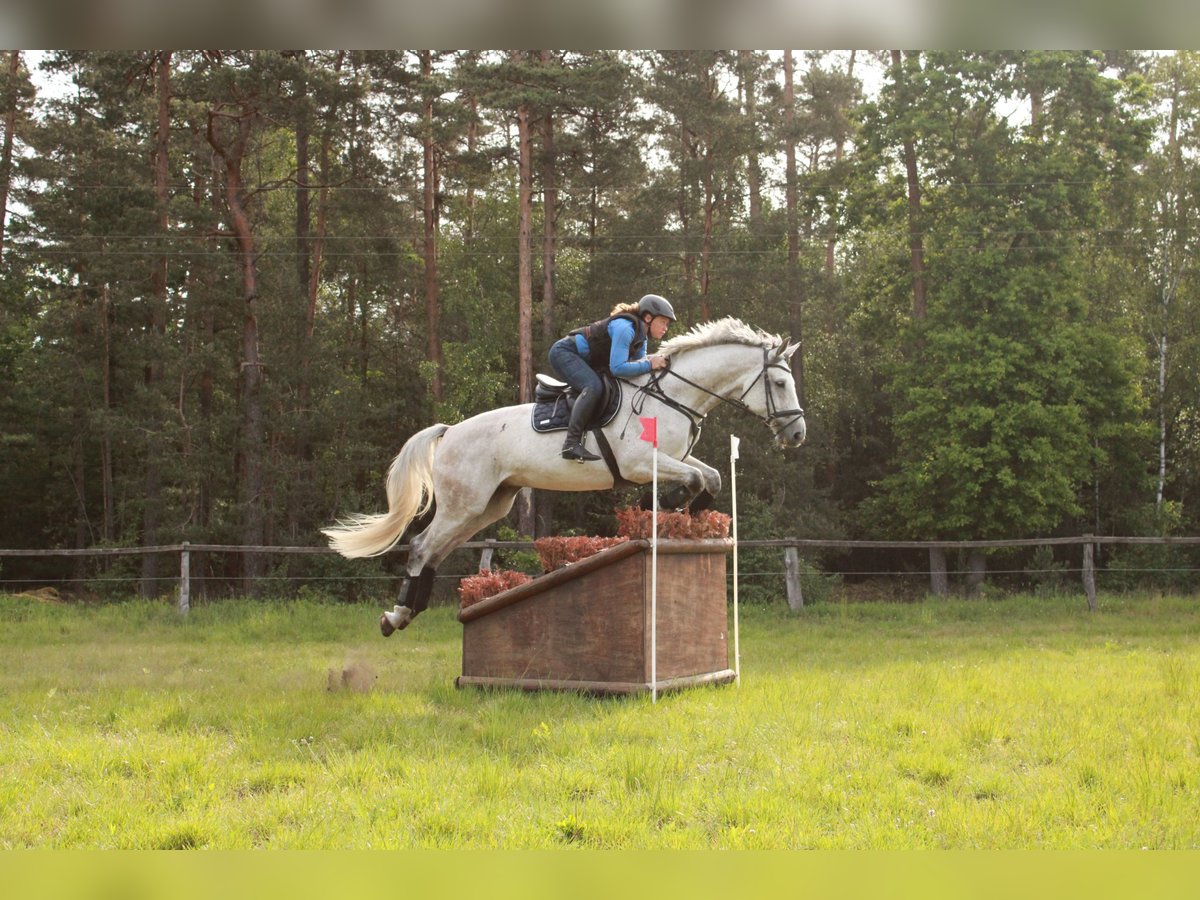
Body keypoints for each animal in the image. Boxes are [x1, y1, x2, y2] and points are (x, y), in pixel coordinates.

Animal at [322, 317, 806, 634]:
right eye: (781, 384)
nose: (797, 434)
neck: (672, 395)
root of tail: (451, 430)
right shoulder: (639, 461)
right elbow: (696, 479)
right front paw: (669, 504)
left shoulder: (675, 457)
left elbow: (712, 478)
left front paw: (684, 510)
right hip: (465, 503)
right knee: (422, 546)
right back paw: (396, 616)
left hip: (489, 506)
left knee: (436, 551)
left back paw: (409, 612)